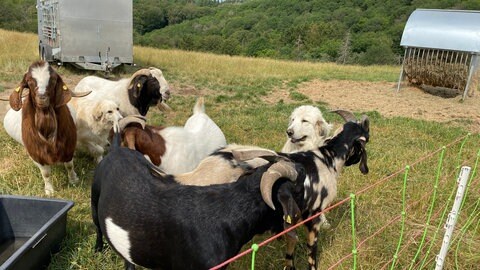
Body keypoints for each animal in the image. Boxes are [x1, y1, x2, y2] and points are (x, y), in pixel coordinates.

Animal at [4, 60, 89, 195]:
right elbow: (46, 173)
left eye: (53, 79)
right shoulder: (37, 154)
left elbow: (69, 165)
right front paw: (49, 191)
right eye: (29, 81)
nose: (42, 98)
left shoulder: (69, 146)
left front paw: (74, 180)